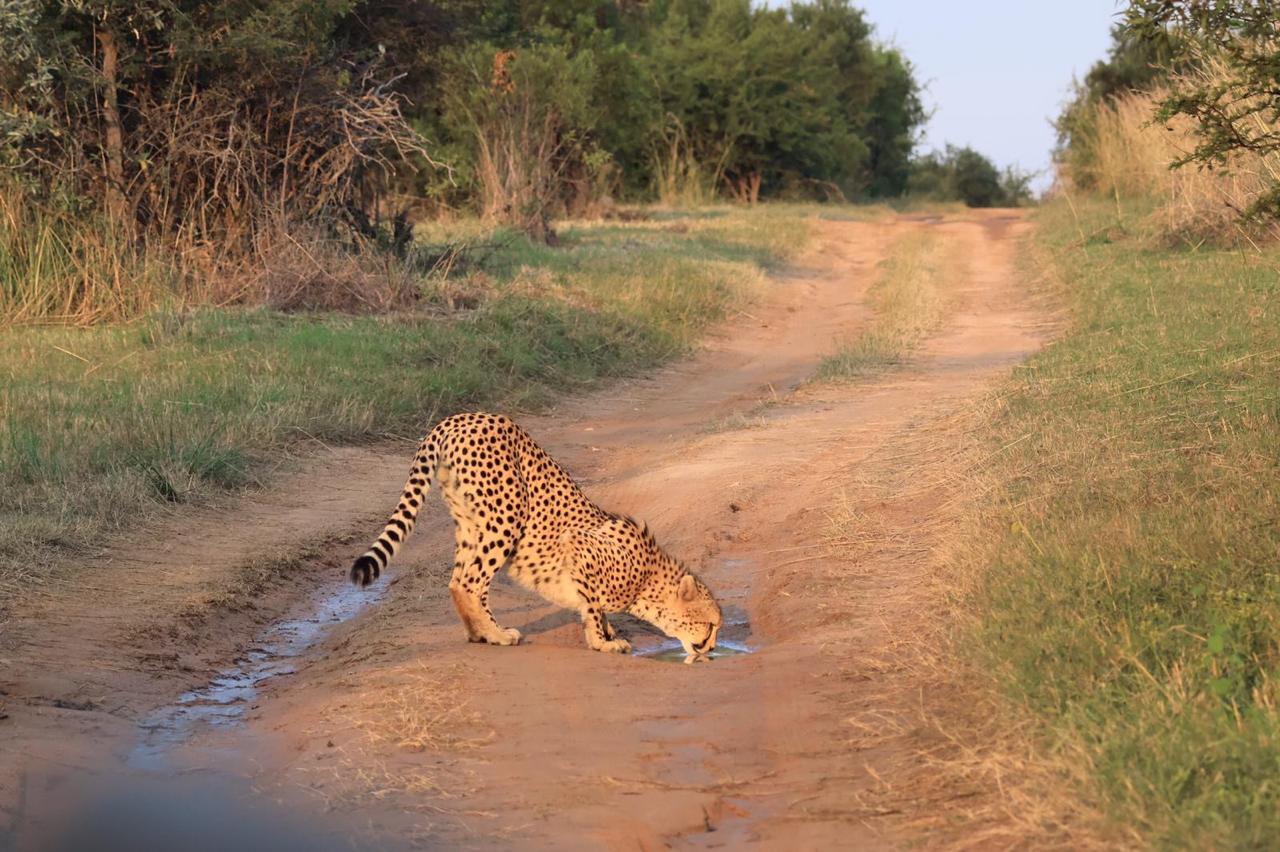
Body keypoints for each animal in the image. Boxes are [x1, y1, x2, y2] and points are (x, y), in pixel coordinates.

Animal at [349, 411, 723, 656]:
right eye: (710, 625)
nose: (710, 648)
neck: (648, 576)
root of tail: (461, 417)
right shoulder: (580, 549)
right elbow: (592, 606)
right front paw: (602, 641)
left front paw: (608, 633)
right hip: (507, 515)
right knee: (469, 582)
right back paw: (497, 635)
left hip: (471, 522)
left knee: (459, 581)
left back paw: (480, 632)